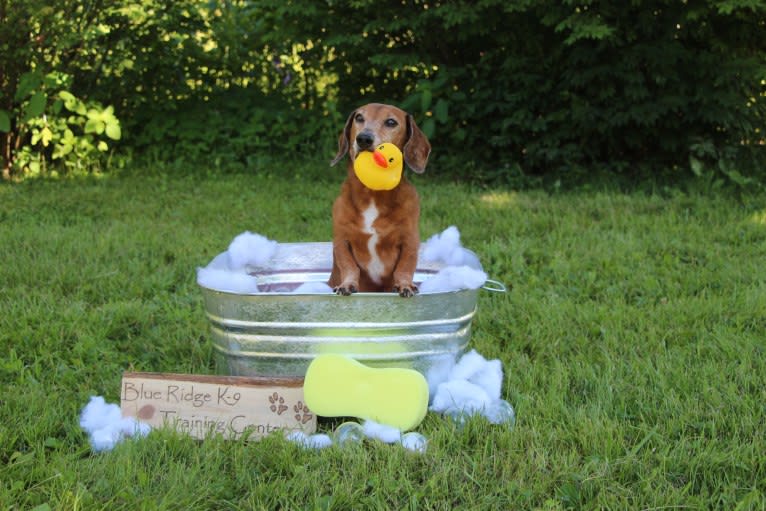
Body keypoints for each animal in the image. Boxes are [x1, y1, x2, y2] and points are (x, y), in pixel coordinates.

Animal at [328, 102, 432, 298]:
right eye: (359, 117)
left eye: (391, 122)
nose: (363, 138)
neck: (372, 194)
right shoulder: (342, 240)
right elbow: (349, 266)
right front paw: (347, 284)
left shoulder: (409, 240)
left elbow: (405, 267)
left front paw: (405, 285)